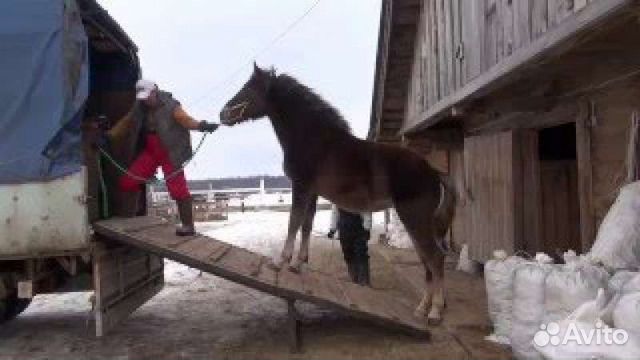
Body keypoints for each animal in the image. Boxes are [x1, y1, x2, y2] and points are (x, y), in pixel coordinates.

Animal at [220, 62, 456, 324]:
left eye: (249, 88)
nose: (223, 114)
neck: (314, 140)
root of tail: (433, 172)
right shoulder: (312, 192)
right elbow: (306, 225)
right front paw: (297, 265)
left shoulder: (301, 186)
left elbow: (293, 222)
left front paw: (280, 262)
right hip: (417, 223)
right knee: (427, 260)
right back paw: (422, 309)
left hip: (414, 218)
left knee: (435, 258)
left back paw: (435, 311)